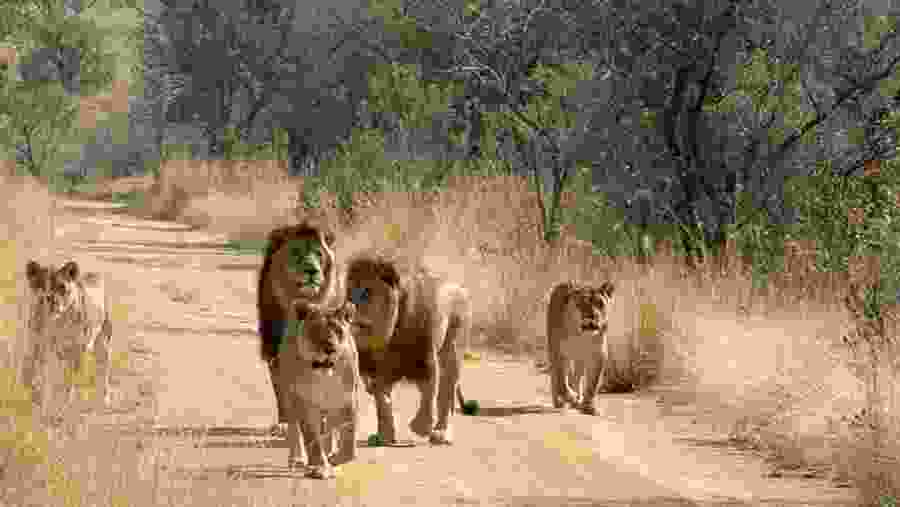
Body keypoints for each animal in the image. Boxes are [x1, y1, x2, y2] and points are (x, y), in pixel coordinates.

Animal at [24, 260, 113, 408]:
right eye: (40, 284)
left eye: (61, 286)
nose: (49, 298)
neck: (56, 322)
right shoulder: (39, 346)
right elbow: (36, 373)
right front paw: (37, 397)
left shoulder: (77, 351)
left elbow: (69, 381)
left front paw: (65, 403)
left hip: (102, 345)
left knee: (103, 372)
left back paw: (105, 399)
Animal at [257, 220, 338, 427]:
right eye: (296, 252)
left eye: (318, 254)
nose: (312, 271)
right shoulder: (275, 347)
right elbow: (284, 389)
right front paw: (287, 423)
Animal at [278, 300, 359, 479]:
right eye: (315, 330)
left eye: (338, 330)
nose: (330, 348)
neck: (324, 372)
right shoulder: (303, 401)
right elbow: (311, 438)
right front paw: (320, 466)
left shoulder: (347, 398)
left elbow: (349, 439)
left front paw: (336, 460)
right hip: (289, 397)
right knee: (294, 428)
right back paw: (297, 459)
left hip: (330, 406)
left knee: (329, 427)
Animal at [345, 252, 471, 446]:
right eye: (349, 292)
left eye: (366, 293)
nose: (346, 310)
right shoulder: (379, 367)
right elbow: (382, 398)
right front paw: (384, 437)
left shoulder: (424, 358)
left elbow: (429, 391)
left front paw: (421, 428)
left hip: (455, 340)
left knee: (447, 385)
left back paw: (441, 434)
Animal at [546, 281, 614, 415]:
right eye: (581, 304)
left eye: (600, 304)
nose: (592, 317)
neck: (581, 335)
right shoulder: (559, 353)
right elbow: (562, 382)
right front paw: (571, 398)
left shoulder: (598, 355)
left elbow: (593, 384)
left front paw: (588, 406)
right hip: (556, 350)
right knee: (556, 376)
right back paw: (560, 401)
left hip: (580, 357)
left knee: (576, 376)